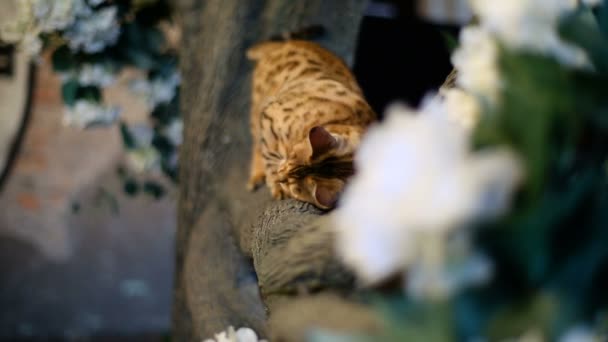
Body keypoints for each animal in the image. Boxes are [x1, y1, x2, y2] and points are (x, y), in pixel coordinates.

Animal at [247, 39, 376, 208]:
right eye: (292, 155)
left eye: (295, 189)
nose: (281, 177)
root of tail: (286, 41)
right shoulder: (270, 118)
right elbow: (269, 156)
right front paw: (274, 182)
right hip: (258, 106)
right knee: (256, 143)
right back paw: (256, 174)